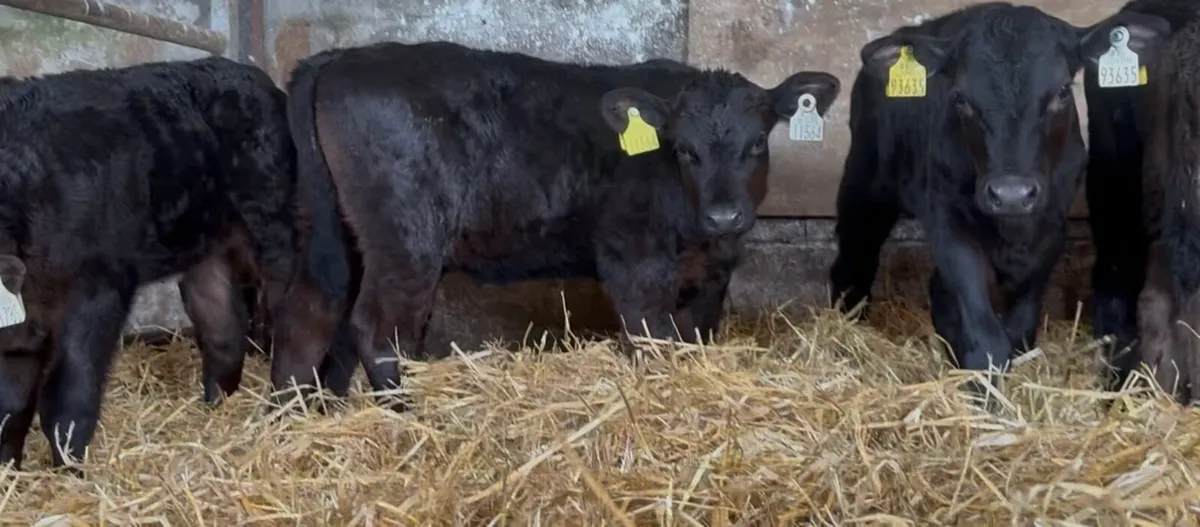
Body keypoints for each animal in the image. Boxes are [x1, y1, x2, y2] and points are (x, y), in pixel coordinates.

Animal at [0, 56, 317, 471]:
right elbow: (12, 402)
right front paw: (9, 469)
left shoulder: (99, 287)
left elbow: (70, 390)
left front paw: (70, 470)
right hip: (208, 249)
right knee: (224, 327)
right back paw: (215, 410)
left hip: (275, 225)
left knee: (294, 314)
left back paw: (288, 405)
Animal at [273, 41, 841, 408]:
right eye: (683, 149)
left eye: (758, 142)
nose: (725, 215)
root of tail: (339, 57)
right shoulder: (635, 262)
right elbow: (654, 341)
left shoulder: (710, 279)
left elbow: (693, 339)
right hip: (404, 237)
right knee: (379, 332)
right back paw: (408, 418)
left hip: (335, 230)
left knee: (309, 312)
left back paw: (290, 417)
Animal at [826, 2, 1169, 402]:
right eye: (960, 98)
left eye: (1062, 92)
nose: (1011, 194)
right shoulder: (949, 223)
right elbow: (985, 332)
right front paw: (987, 395)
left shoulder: (1051, 225)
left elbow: (1021, 322)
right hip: (865, 186)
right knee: (853, 262)